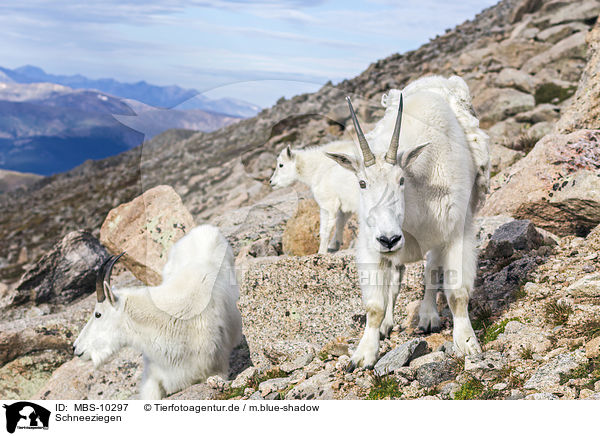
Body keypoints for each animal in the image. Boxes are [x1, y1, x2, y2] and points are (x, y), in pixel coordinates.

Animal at [326, 76, 490, 370]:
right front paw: (363, 355)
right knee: (396, 279)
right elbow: (374, 305)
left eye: (401, 180)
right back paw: (388, 325)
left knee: (430, 271)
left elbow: (457, 293)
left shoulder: (455, 232)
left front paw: (467, 343)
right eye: (362, 183)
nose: (389, 239)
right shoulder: (370, 246)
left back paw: (428, 317)